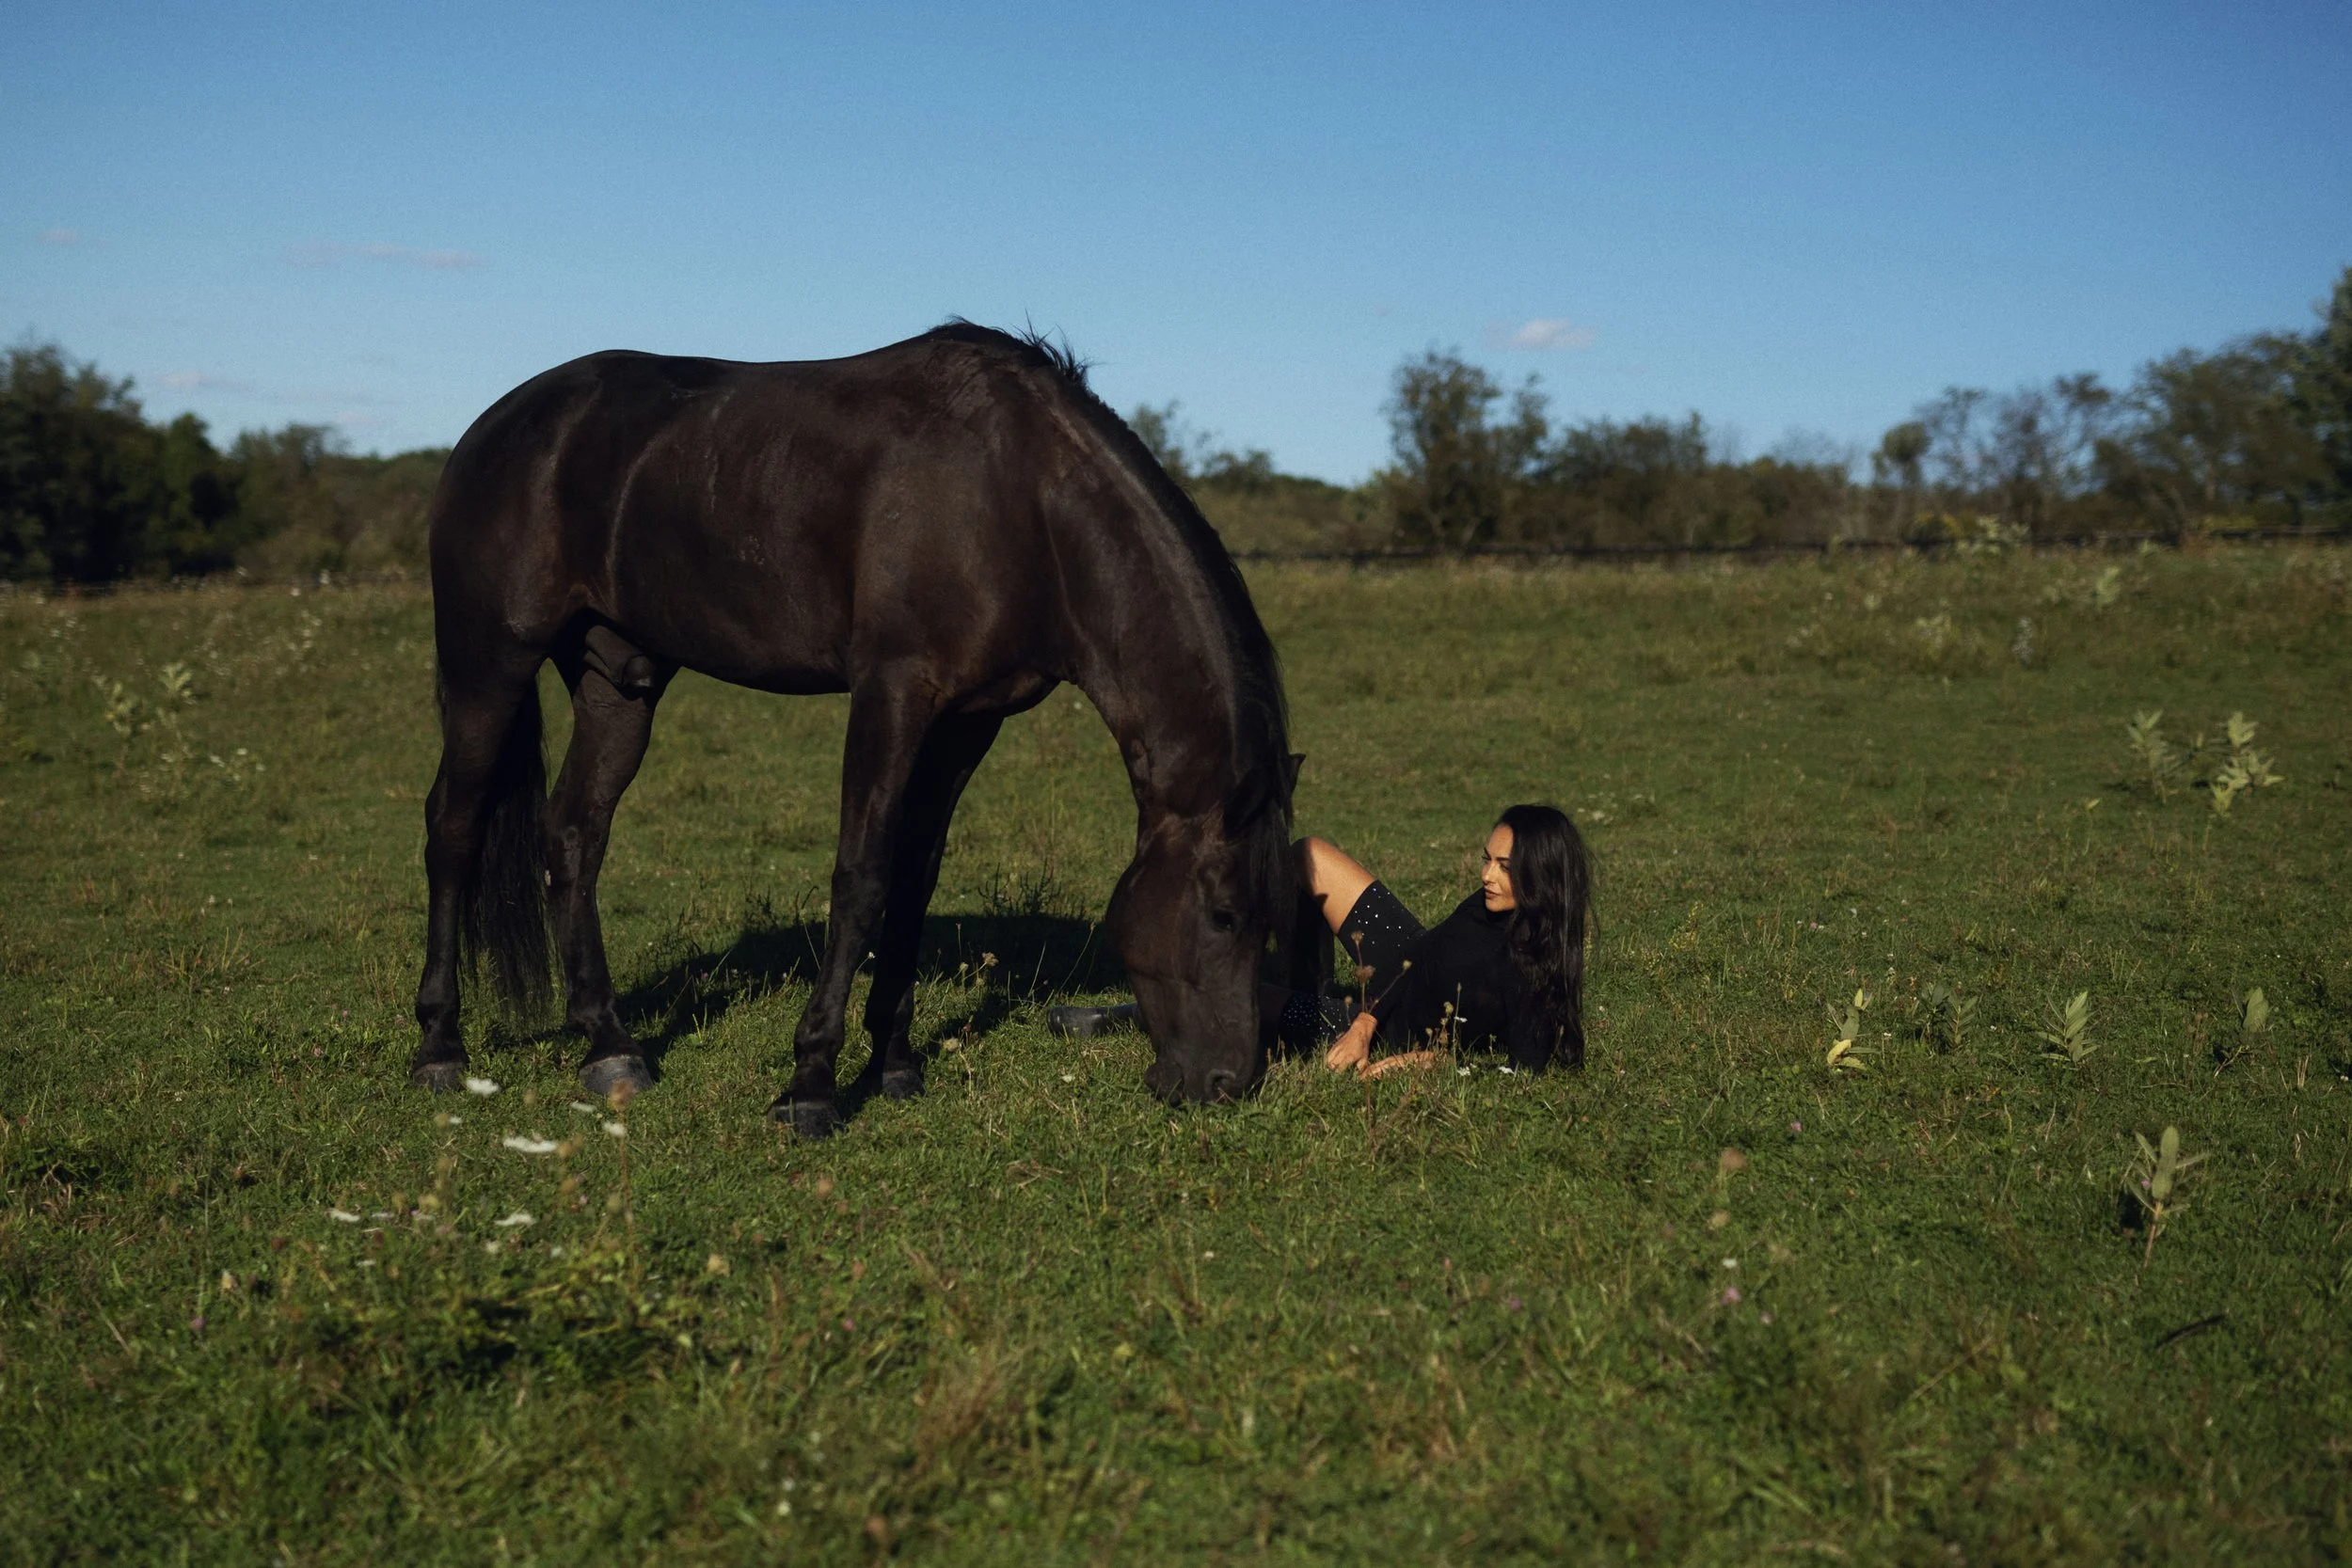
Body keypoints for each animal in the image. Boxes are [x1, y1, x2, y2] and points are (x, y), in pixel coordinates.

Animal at [411, 323, 1295, 1137]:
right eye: (1224, 913)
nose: (1226, 1080)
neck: (1020, 503)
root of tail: (494, 428)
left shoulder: (968, 720)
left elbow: (915, 875)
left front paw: (893, 1063)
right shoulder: (891, 691)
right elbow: (862, 876)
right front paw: (810, 1085)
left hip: (618, 680)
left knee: (573, 834)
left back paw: (611, 1047)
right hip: (489, 664)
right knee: (453, 828)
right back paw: (440, 1046)